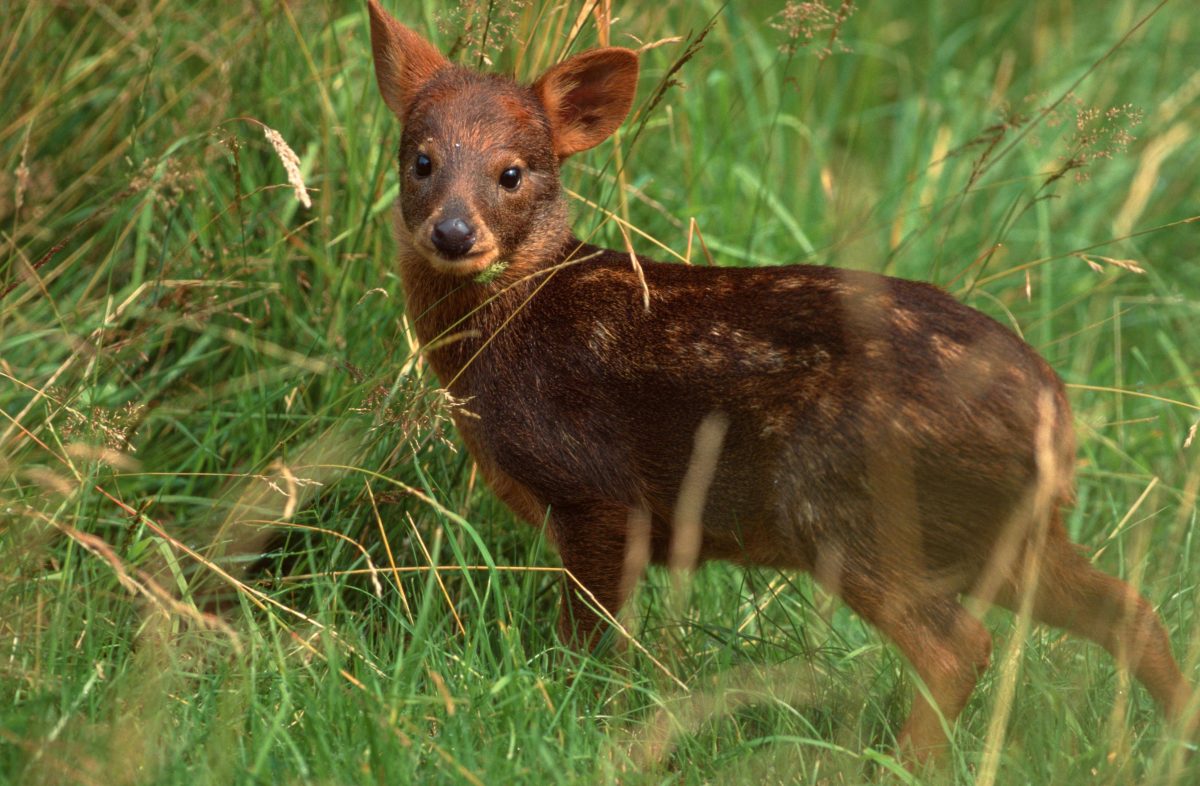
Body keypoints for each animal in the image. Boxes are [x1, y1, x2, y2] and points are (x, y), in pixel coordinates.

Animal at [364, 0, 1190, 763]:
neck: (517, 325)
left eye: (511, 172)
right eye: (421, 160)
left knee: (959, 647)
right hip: (1002, 529)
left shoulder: (595, 488)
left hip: (852, 504)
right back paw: (1173, 739)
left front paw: (576, 723)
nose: (453, 232)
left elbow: (587, 643)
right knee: (1129, 610)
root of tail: (1056, 414)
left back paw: (895, 764)